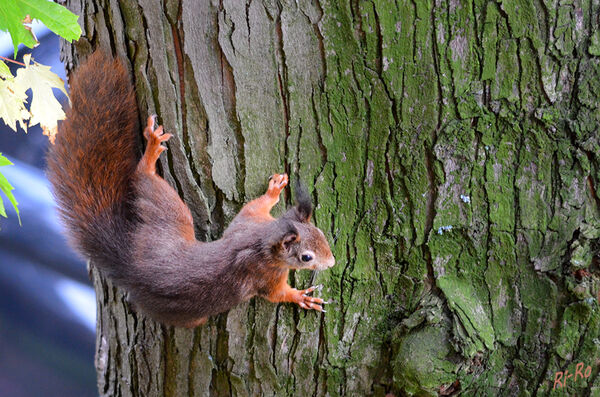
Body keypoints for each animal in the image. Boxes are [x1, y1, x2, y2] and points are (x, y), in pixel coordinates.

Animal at [45, 51, 338, 326]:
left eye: (321, 234)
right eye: (306, 257)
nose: (332, 262)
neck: (263, 239)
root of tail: (132, 267)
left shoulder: (247, 223)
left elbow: (253, 207)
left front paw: (273, 190)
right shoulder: (265, 276)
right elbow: (278, 294)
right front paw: (301, 297)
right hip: (172, 220)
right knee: (143, 177)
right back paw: (152, 150)